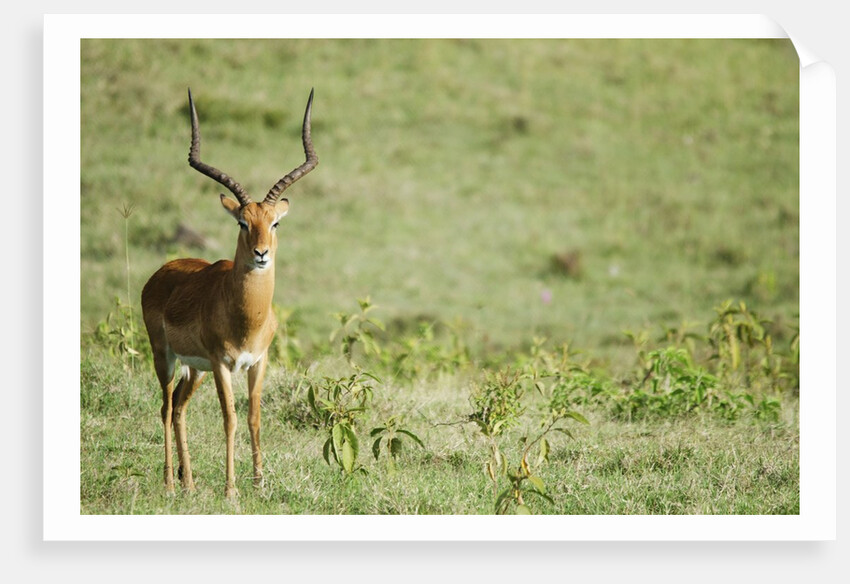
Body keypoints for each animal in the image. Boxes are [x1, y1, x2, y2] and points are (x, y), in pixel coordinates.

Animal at [141, 88, 318, 498]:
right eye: (242, 222)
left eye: (275, 222)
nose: (261, 253)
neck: (246, 317)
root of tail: (160, 273)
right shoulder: (222, 364)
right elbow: (230, 419)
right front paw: (231, 490)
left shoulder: (258, 361)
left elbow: (253, 417)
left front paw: (259, 483)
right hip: (166, 357)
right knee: (164, 406)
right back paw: (170, 482)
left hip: (194, 369)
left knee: (179, 408)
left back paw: (189, 484)